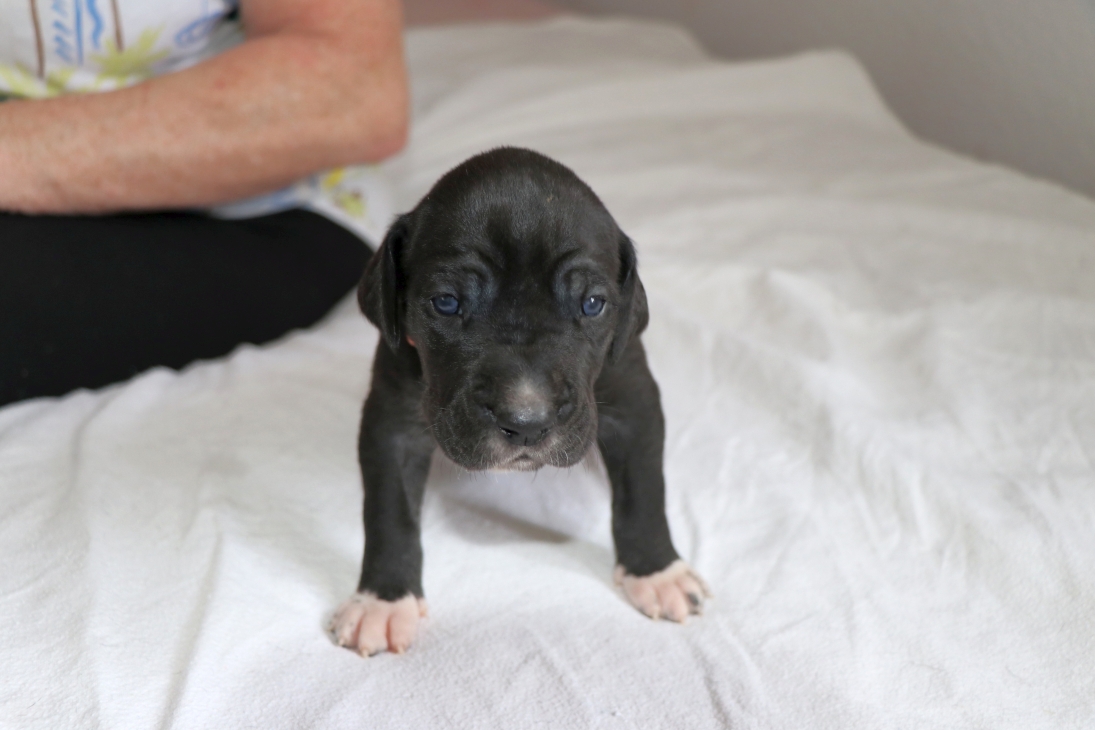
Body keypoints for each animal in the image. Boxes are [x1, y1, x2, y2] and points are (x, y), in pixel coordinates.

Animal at [328, 147, 708, 656]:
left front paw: (657, 569)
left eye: (592, 304)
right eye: (446, 303)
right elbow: (390, 508)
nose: (526, 422)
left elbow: (644, 487)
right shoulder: (392, 419)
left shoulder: (635, 400)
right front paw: (383, 599)